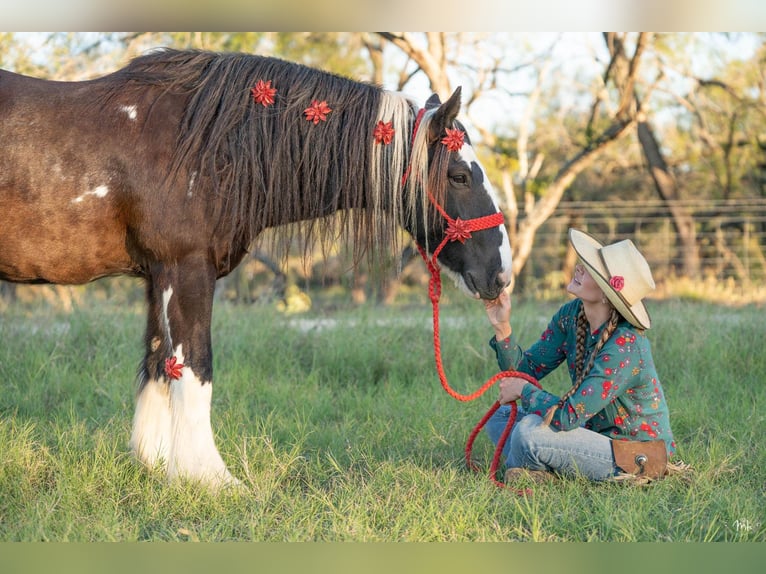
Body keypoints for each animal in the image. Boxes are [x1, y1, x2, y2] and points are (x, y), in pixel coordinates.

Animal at [1, 49, 516, 490]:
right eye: (459, 176)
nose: (501, 273)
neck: (205, 144)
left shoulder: (157, 276)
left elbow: (157, 365)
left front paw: (158, 467)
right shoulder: (186, 269)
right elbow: (195, 367)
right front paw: (211, 479)